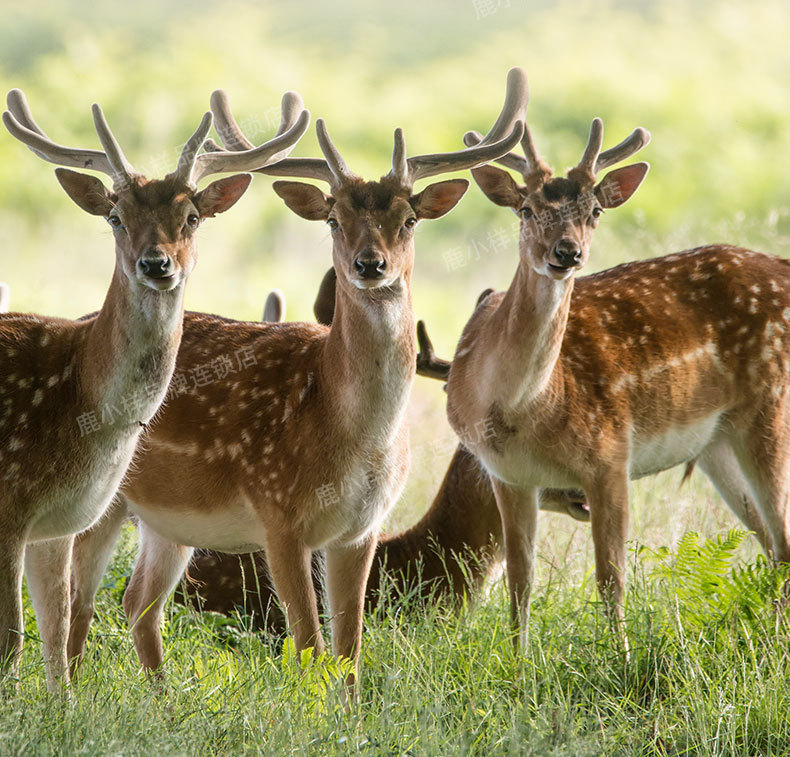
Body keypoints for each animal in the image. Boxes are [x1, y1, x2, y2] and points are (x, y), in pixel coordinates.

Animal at [0, 88, 309, 691]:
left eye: (191, 216)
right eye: (116, 216)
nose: (156, 263)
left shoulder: (56, 522)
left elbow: (54, 634)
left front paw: (62, 706)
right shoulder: (8, 504)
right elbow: (13, 640)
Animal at [67, 69, 528, 687]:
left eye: (408, 219)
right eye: (334, 219)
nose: (369, 264)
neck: (351, 434)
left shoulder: (360, 530)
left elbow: (350, 652)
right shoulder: (279, 516)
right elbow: (310, 648)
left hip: (168, 521)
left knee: (139, 601)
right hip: (103, 497)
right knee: (80, 597)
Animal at [438, 104, 790, 651]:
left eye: (595, 212)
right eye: (526, 209)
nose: (567, 253)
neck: (523, 408)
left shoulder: (610, 455)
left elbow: (610, 579)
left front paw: (620, 658)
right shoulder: (507, 474)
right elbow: (519, 581)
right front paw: (518, 662)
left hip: (770, 407)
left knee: (783, 541)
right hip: (718, 441)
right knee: (771, 543)